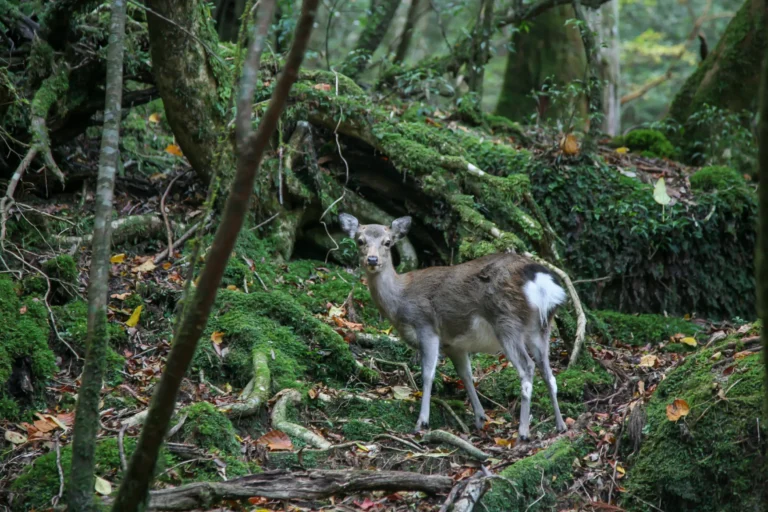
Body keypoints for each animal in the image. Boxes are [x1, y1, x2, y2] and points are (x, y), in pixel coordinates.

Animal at [339, 213, 568, 440]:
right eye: (360, 240)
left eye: (387, 242)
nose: (372, 260)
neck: (400, 300)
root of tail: (541, 282)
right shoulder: (454, 344)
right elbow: (466, 374)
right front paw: (480, 418)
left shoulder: (426, 326)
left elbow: (428, 373)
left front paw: (422, 422)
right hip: (540, 327)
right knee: (549, 374)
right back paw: (561, 425)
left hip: (507, 321)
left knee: (527, 368)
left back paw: (523, 432)